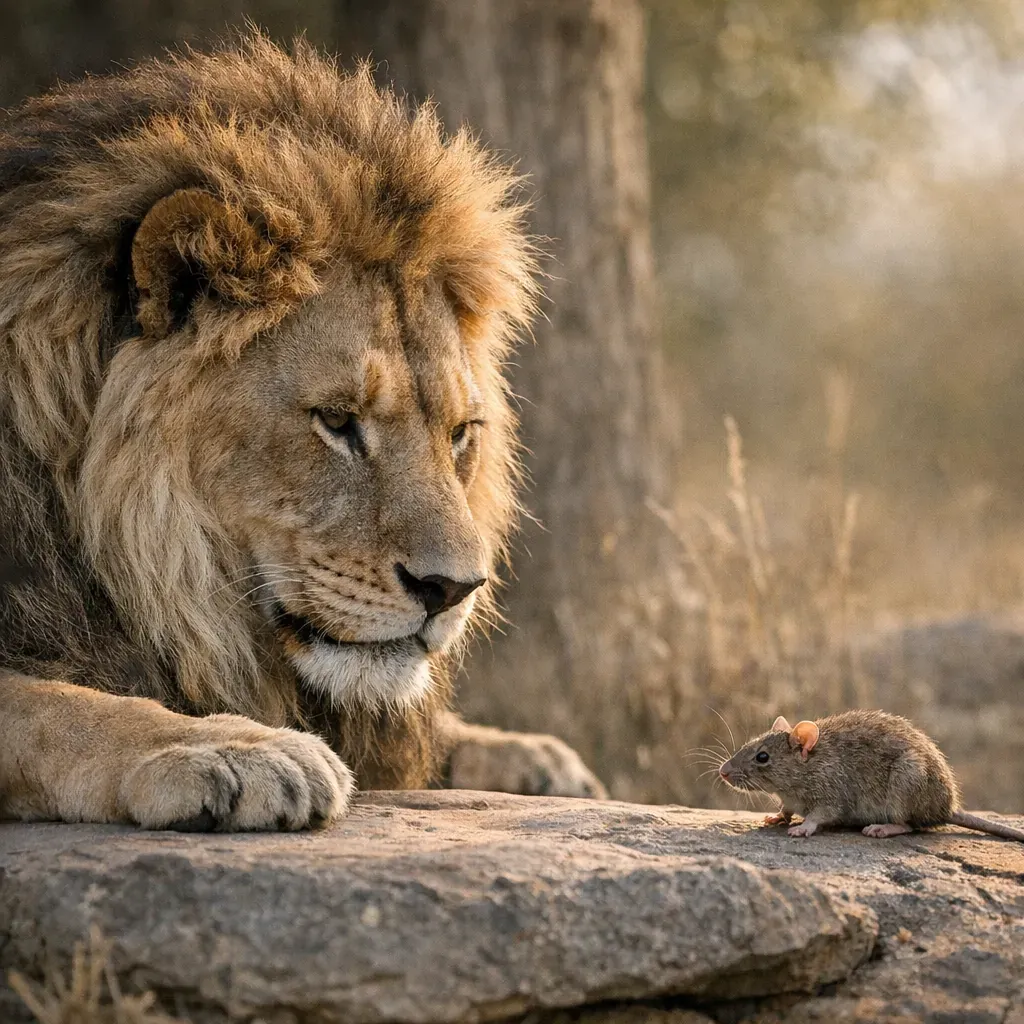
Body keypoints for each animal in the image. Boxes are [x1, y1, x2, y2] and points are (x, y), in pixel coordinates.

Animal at [0, 35, 605, 831]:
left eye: (459, 434)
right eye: (338, 422)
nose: (451, 589)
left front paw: (539, 762)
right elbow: (57, 706)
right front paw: (231, 749)